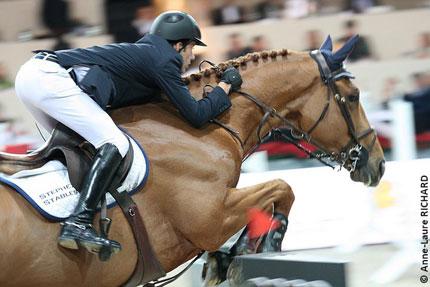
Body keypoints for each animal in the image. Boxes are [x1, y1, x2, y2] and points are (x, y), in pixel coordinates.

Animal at [0, 37, 382, 286]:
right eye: (353, 97)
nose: (377, 165)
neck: (205, 128)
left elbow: (275, 192)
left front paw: (229, 257)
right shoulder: (211, 217)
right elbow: (282, 187)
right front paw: (262, 246)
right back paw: (80, 233)